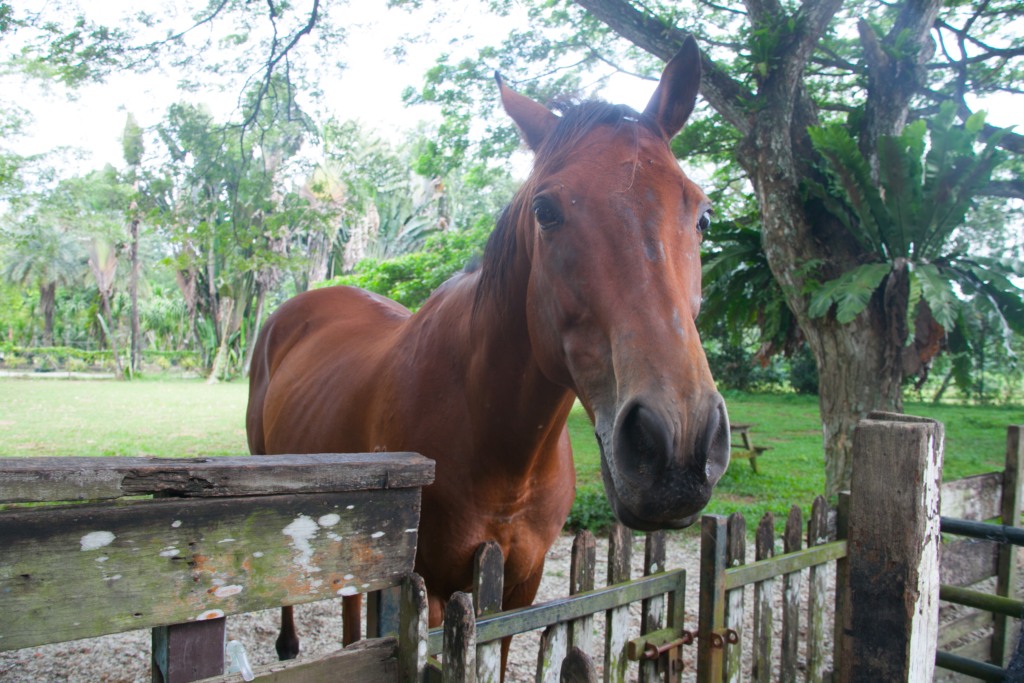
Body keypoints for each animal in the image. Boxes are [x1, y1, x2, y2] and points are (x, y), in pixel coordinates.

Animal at [246, 36, 729, 667]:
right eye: (545, 211)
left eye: (702, 214)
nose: (676, 444)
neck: (501, 447)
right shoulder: (429, 588)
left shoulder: (519, 587)